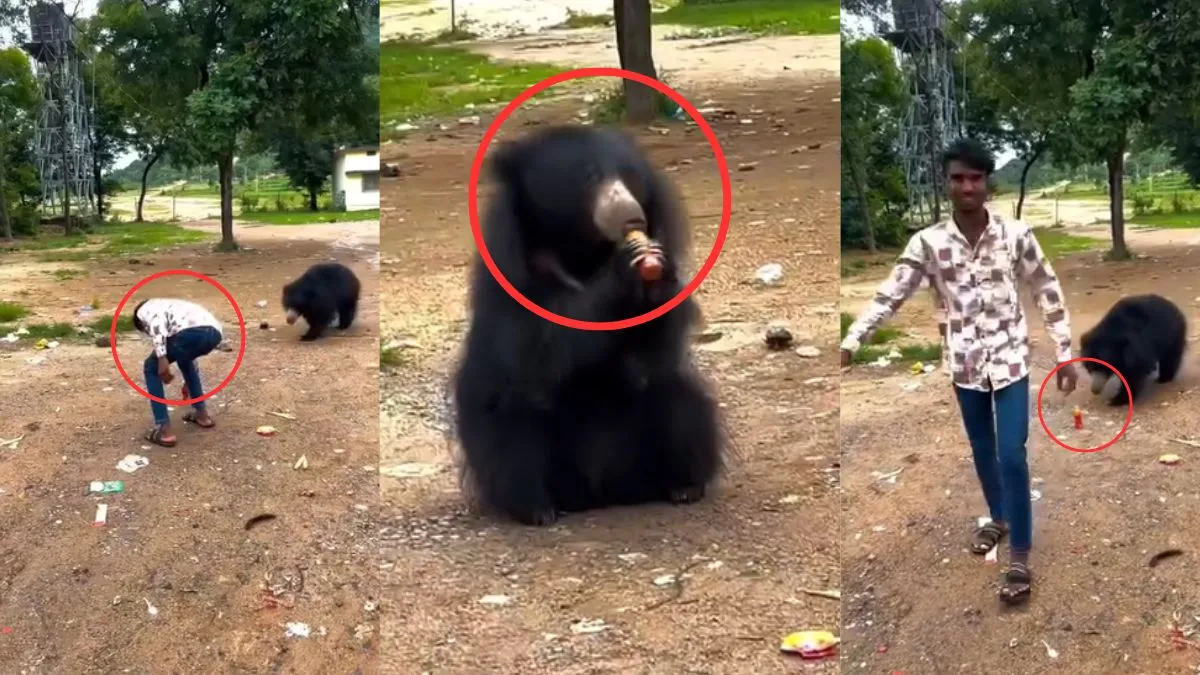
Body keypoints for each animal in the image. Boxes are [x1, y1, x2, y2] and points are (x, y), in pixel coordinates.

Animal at [452, 124, 725, 527]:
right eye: (589, 177)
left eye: (630, 177)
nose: (631, 217)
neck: (582, 254)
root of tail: (601, 494)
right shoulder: (510, 276)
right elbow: (537, 346)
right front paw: (627, 265)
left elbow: (652, 351)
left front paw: (657, 273)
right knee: (511, 430)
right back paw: (537, 508)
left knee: (682, 401)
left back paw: (684, 486)